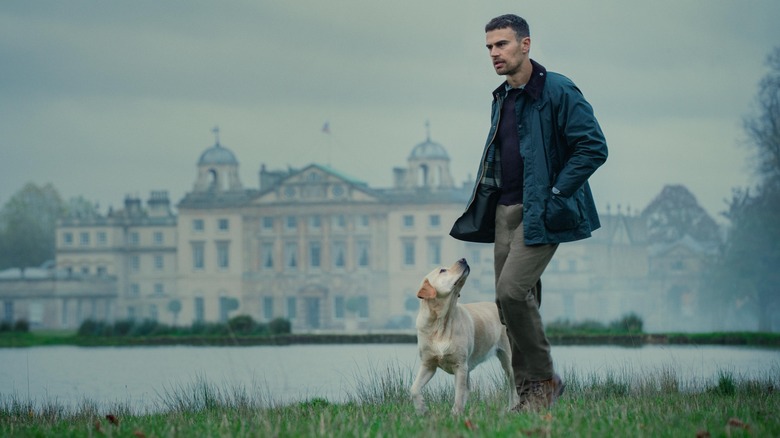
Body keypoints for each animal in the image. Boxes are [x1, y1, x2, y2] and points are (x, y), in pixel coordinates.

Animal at [408, 256, 516, 414]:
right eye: (442, 270)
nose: (463, 259)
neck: (441, 323)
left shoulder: (460, 366)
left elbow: (459, 394)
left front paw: (456, 414)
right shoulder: (428, 364)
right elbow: (414, 388)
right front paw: (421, 408)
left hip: (508, 360)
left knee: (513, 386)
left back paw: (512, 407)